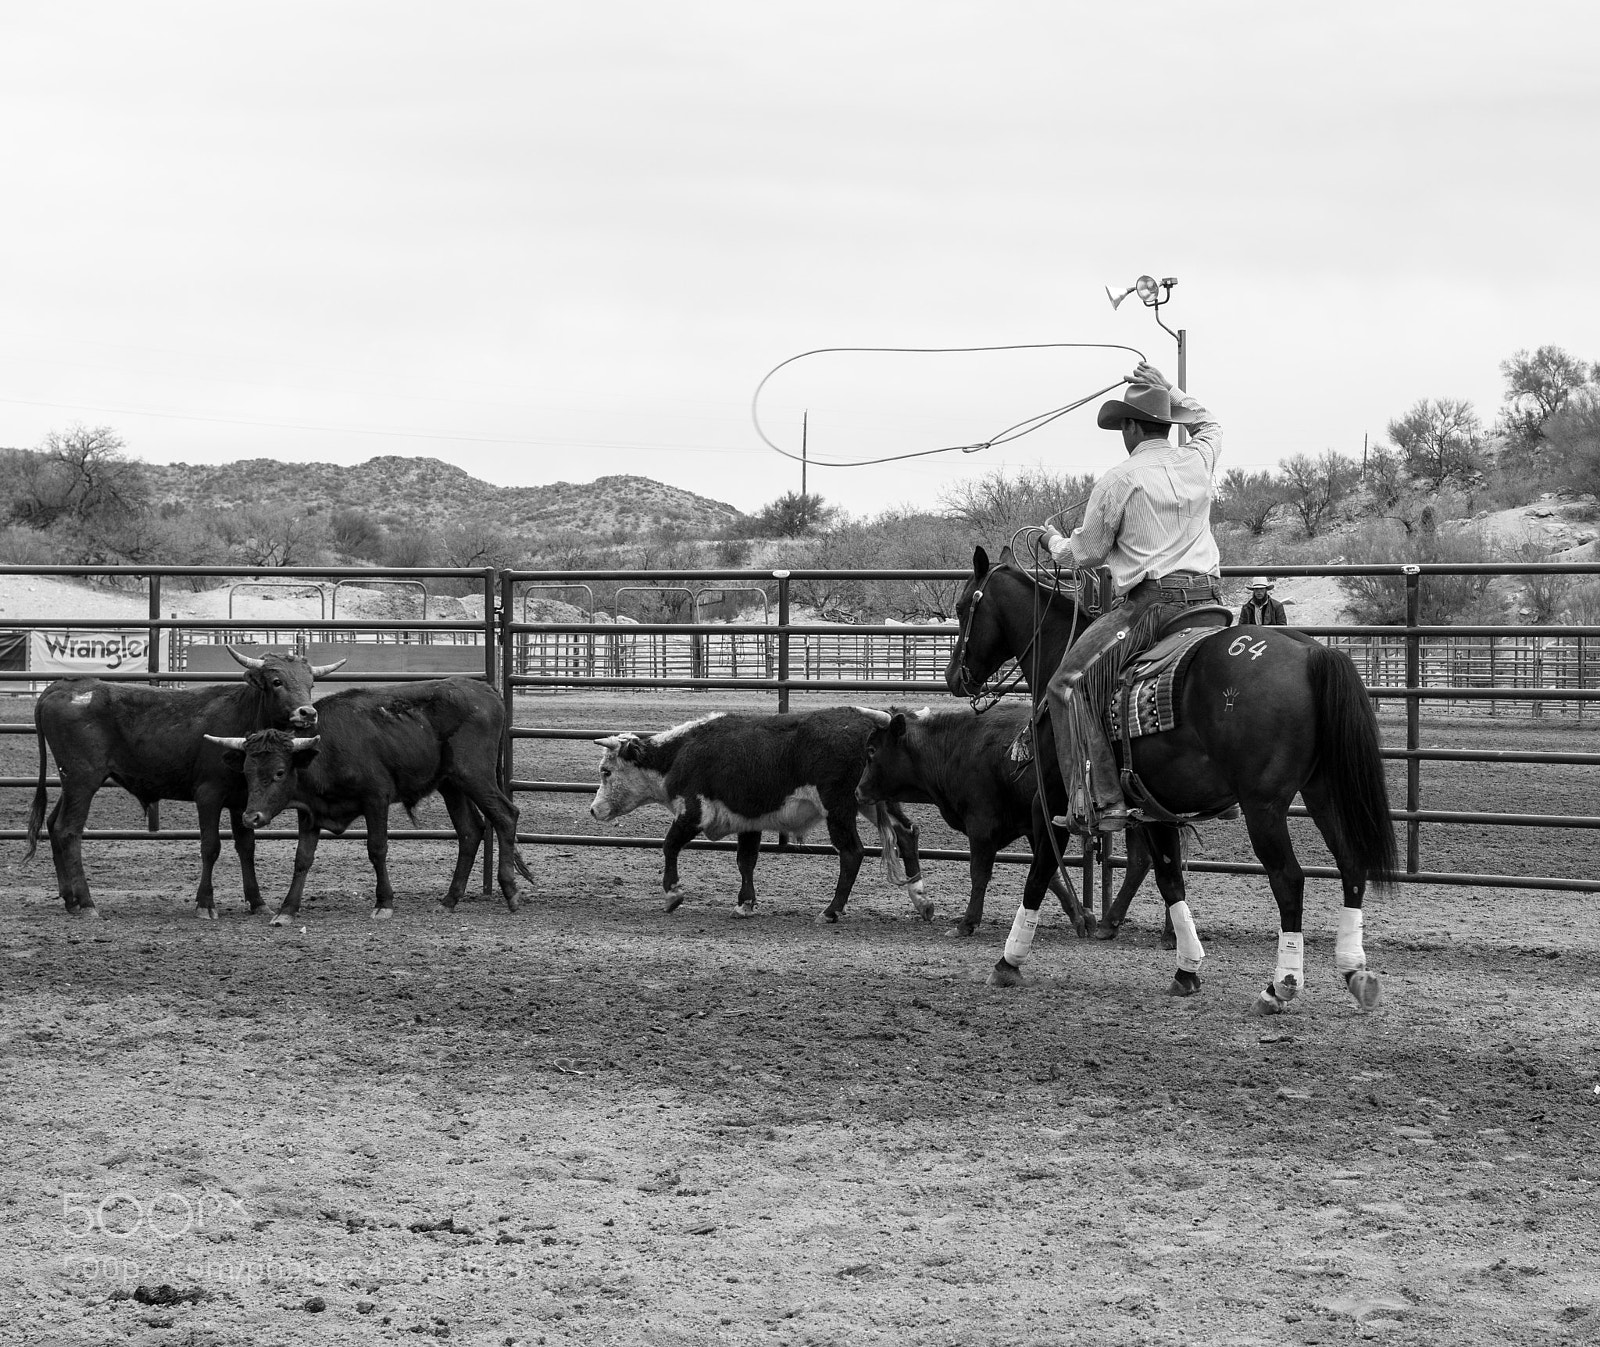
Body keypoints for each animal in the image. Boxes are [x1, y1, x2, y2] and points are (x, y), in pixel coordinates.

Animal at [25, 646, 343, 919]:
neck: (242, 715)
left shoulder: (242, 799)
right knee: (69, 831)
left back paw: (70, 900)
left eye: (310, 683)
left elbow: (246, 847)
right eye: (277, 681)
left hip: (71, 780)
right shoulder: (208, 795)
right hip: (83, 779)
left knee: (53, 825)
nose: (308, 713)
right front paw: (205, 904)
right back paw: (87, 903)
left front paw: (257, 902)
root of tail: (63, 686)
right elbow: (210, 846)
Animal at [207, 677, 532, 924]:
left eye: (279, 772)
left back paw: (510, 891)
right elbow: (302, 859)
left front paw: (384, 903)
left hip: (474, 775)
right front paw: (287, 910)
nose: (251, 818)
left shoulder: (376, 799)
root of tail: (486, 691)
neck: (328, 751)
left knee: (505, 816)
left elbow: (377, 849)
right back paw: (449, 900)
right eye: (247, 772)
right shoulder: (311, 812)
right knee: (470, 831)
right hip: (452, 784)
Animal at [588, 707, 930, 922]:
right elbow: (746, 861)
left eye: (606, 771)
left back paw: (831, 911)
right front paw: (745, 904)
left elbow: (670, 846)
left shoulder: (693, 812)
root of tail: (874, 721)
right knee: (906, 834)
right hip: (872, 800)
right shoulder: (748, 822)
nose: (593, 809)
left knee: (852, 852)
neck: (680, 754)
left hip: (839, 806)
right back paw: (922, 900)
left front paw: (673, 894)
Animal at [947, 545, 1395, 1014]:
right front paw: (1187, 969)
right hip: (1323, 791)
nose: (954, 676)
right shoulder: (1154, 808)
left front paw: (1008, 961)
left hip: (1264, 805)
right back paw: (1354, 970)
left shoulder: (1051, 800)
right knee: (1351, 862)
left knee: (1289, 879)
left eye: (962, 607)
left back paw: (1280, 986)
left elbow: (1039, 872)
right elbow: (1169, 879)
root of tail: (1311, 654)